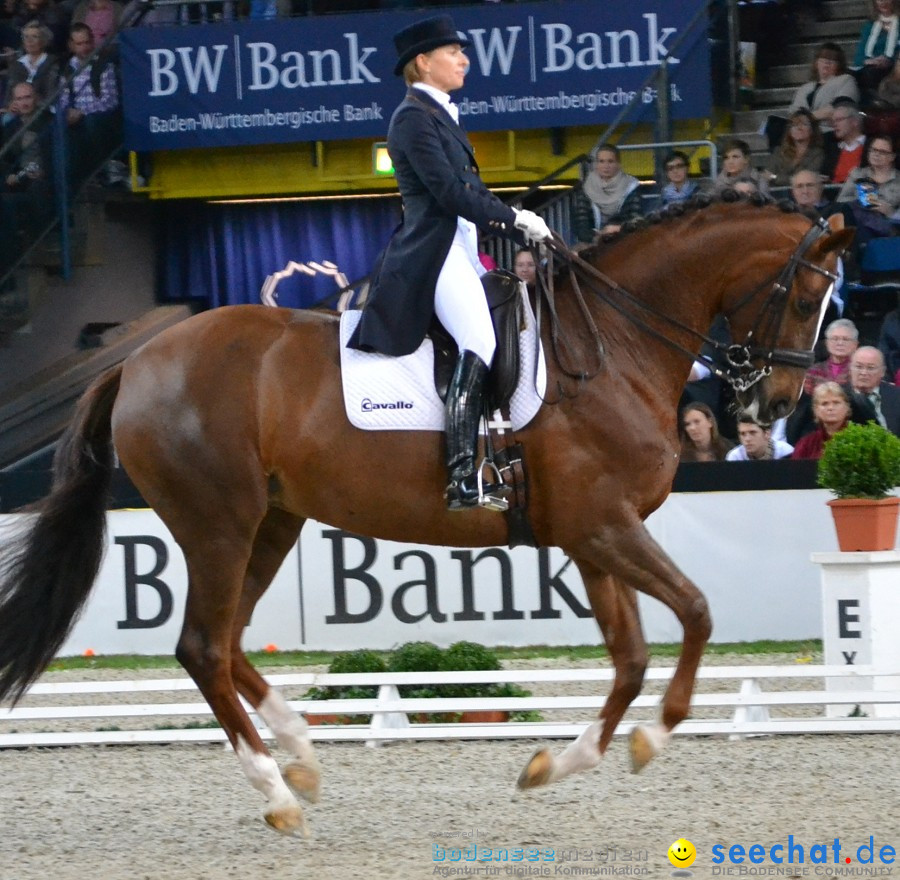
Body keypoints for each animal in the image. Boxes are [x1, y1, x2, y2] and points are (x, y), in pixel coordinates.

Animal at [0, 199, 852, 832]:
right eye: (809, 298)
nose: (774, 406)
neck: (610, 343)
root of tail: (135, 361)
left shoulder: (591, 534)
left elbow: (632, 656)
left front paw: (558, 762)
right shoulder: (606, 526)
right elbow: (697, 613)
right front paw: (653, 735)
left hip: (269, 523)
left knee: (231, 641)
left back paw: (302, 755)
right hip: (217, 525)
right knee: (203, 647)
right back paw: (277, 791)